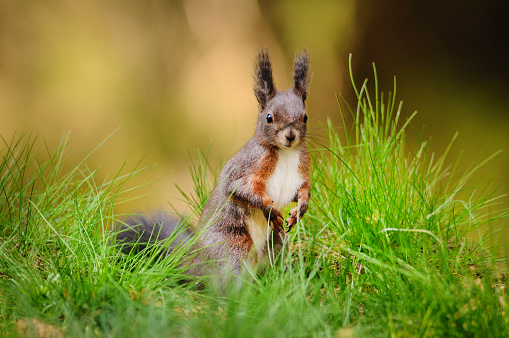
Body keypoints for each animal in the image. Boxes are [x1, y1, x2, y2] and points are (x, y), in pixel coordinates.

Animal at [117, 48, 312, 286]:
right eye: (269, 117)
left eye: (305, 117)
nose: (290, 136)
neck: (285, 153)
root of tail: (194, 261)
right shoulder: (245, 168)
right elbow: (241, 189)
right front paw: (269, 208)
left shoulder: (300, 173)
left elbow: (302, 191)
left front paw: (300, 209)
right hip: (231, 248)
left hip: (275, 243)